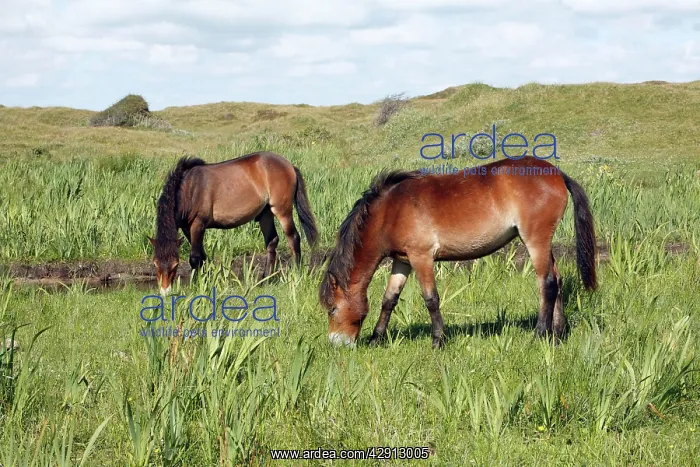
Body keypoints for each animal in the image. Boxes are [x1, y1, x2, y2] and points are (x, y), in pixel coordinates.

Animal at [149, 151, 318, 295]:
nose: (165, 292)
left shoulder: (198, 224)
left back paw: (297, 274)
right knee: (272, 241)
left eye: (175, 265)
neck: (189, 189)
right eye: (155, 264)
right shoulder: (186, 228)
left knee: (293, 238)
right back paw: (264, 280)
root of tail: (289, 165)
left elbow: (195, 257)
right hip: (266, 214)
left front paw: (197, 285)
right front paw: (207, 281)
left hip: (282, 211)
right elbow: (202, 256)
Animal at [319, 156, 597, 348]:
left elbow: (431, 299)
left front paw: (438, 340)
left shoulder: (422, 258)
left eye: (332, 309)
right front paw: (377, 338)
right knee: (557, 281)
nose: (336, 344)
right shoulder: (402, 261)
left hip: (535, 241)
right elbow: (389, 300)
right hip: (544, 245)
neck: (391, 209)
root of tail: (556, 174)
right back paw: (557, 334)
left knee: (547, 283)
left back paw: (539, 334)